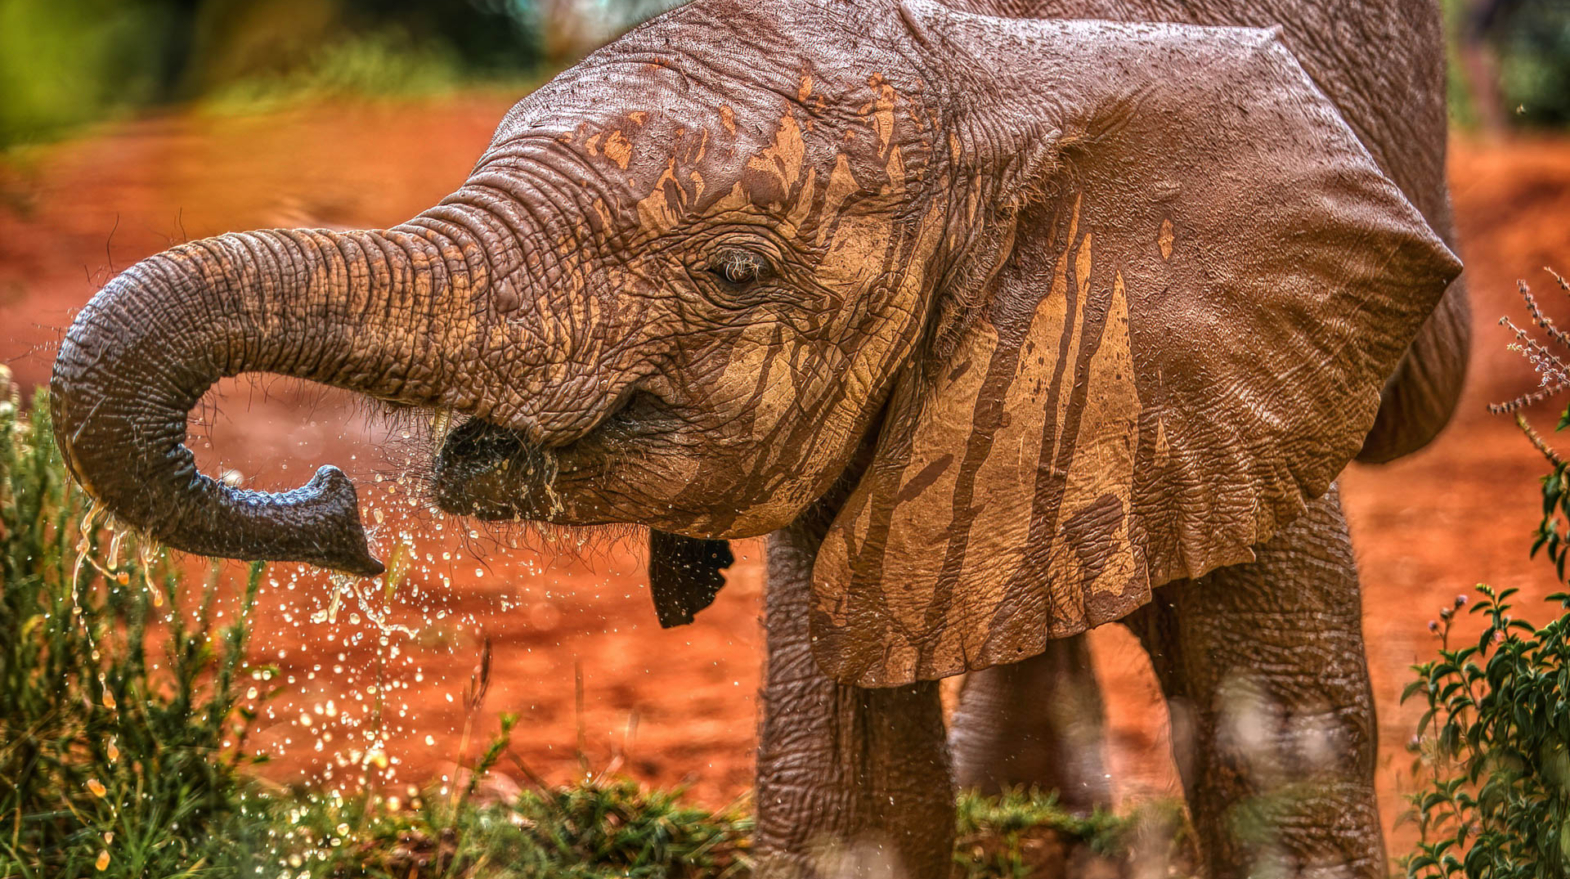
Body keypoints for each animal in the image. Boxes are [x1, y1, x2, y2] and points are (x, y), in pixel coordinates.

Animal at [49, 0, 1468, 876]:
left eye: (736, 271)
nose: (340, 506)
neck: (981, 65)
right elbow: (847, 794)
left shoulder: (1242, 360)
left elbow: (1279, 757)